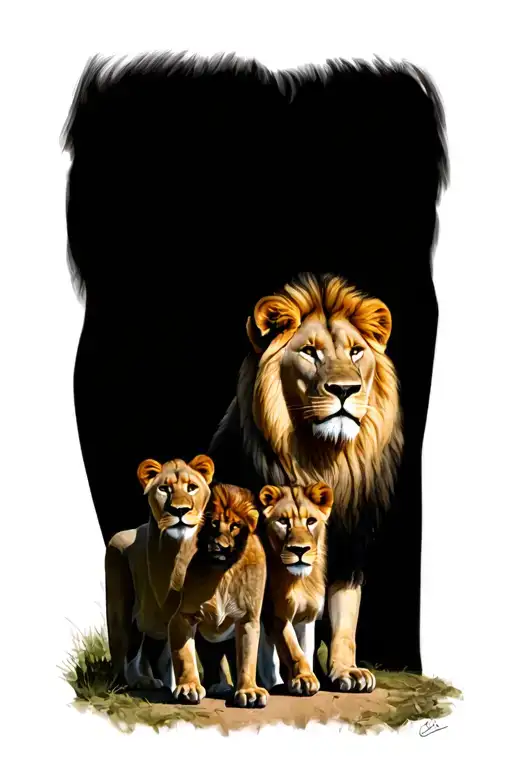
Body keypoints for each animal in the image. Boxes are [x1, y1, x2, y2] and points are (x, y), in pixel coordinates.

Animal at [105, 454, 214, 689]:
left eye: (192, 487)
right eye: (164, 489)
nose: (180, 510)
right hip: (121, 609)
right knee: (124, 648)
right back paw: (130, 682)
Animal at [170, 483, 268, 707]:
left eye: (235, 526)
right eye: (214, 523)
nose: (221, 547)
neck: (223, 572)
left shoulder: (248, 619)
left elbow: (248, 658)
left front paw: (249, 690)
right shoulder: (183, 617)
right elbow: (184, 656)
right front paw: (188, 686)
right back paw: (218, 685)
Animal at [259, 482, 333, 696]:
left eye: (311, 521)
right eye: (283, 521)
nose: (299, 550)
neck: (299, 581)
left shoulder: (307, 617)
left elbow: (305, 648)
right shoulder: (275, 614)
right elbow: (292, 647)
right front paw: (304, 678)